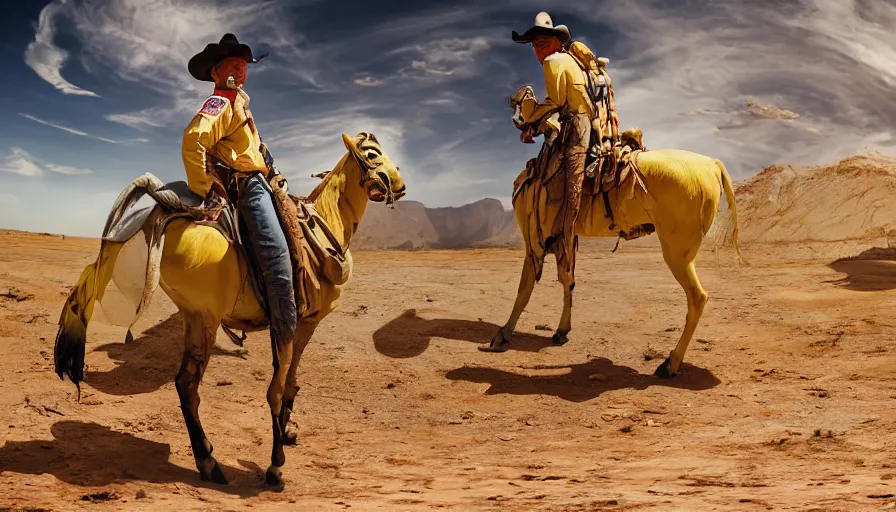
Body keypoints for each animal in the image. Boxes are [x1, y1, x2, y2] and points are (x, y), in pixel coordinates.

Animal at [52, 133, 406, 488]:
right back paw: (208, 462)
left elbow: (290, 380)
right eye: (372, 154)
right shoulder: (300, 321)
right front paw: (276, 463)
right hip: (205, 318)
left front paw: (287, 432)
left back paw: (207, 455)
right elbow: (281, 385)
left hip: (194, 318)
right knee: (187, 384)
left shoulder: (301, 322)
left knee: (186, 385)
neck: (325, 225)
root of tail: (163, 214)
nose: (401, 185)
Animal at [486, 86, 744, 378]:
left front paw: (503, 335)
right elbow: (567, 280)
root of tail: (712, 164)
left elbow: (525, 288)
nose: (515, 114)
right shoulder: (565, 236)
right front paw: (562, 331)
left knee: (698, 298)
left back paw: (670, 363)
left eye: (527, 101)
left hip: (677, 252)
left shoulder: (534, 239)